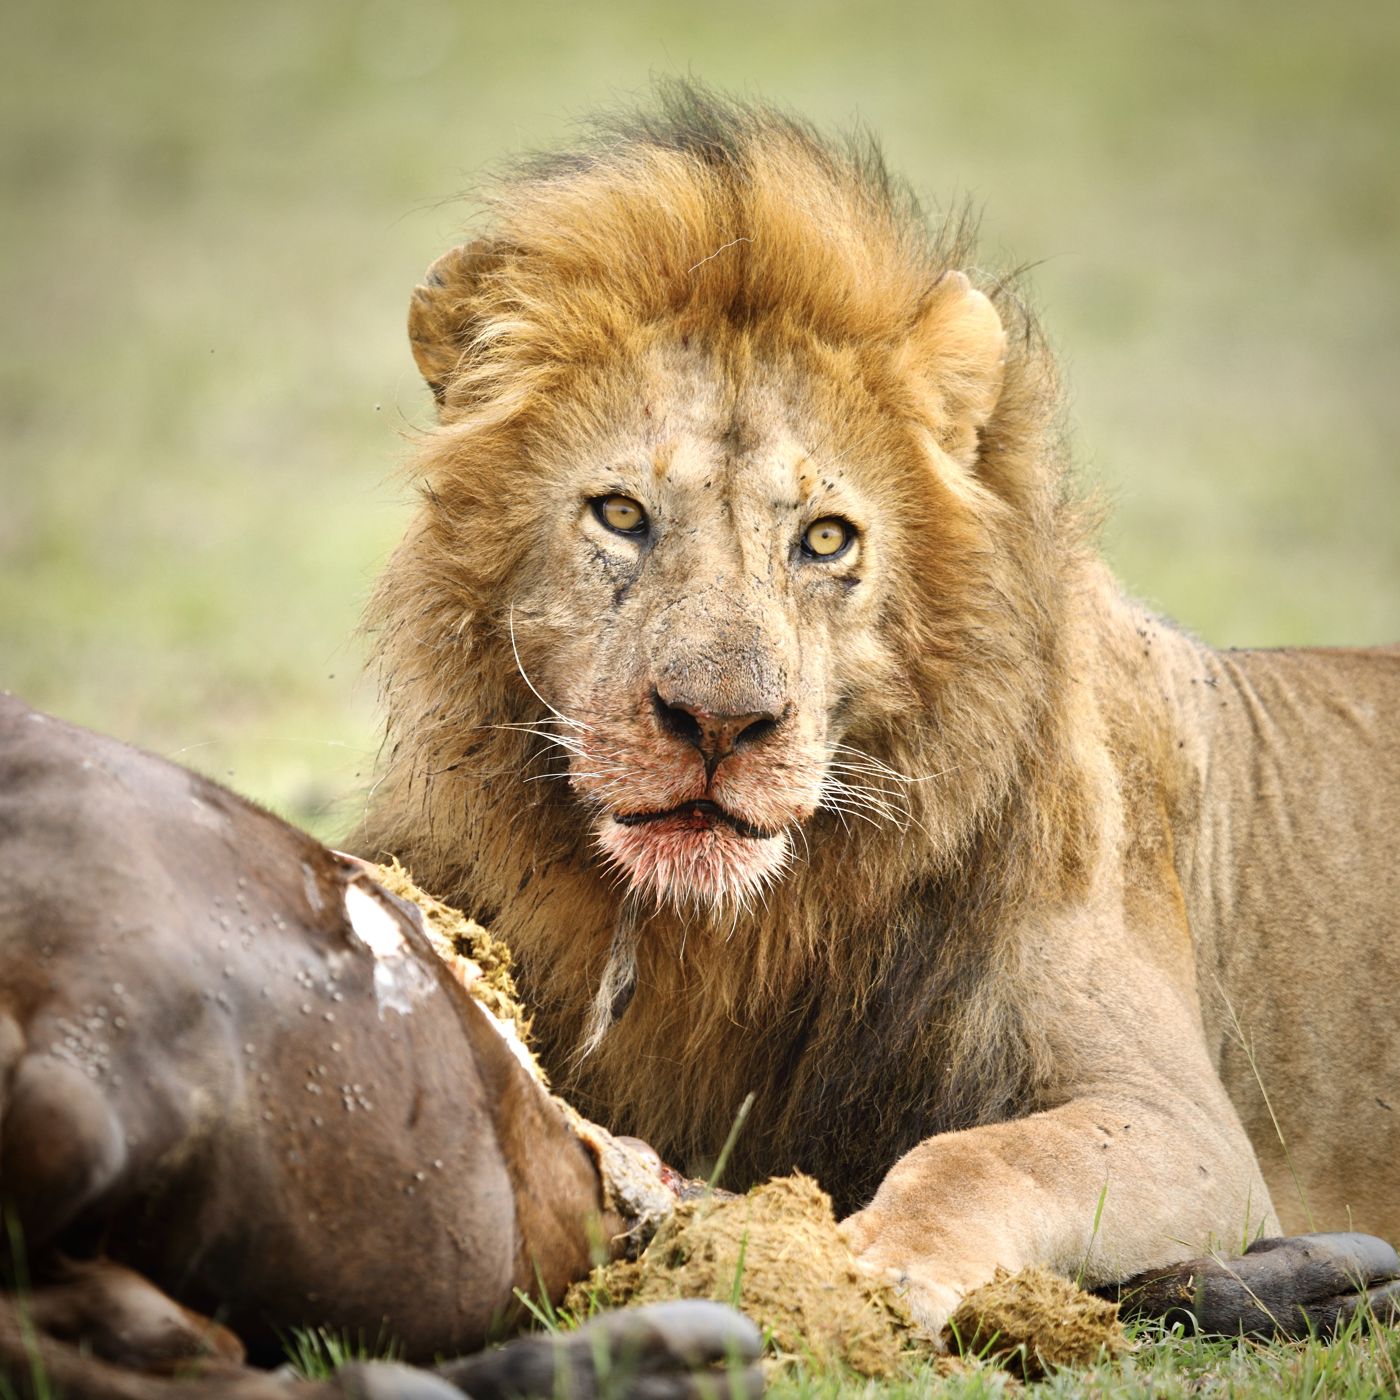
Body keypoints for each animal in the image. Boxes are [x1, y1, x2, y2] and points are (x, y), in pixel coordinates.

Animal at [358, 84, 1400, 1333]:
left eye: (824, 538)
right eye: (618, 513)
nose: (718, 724)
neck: (718, 938)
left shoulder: (1178, 1121)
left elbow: (981, 1153)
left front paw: (867, 1265)